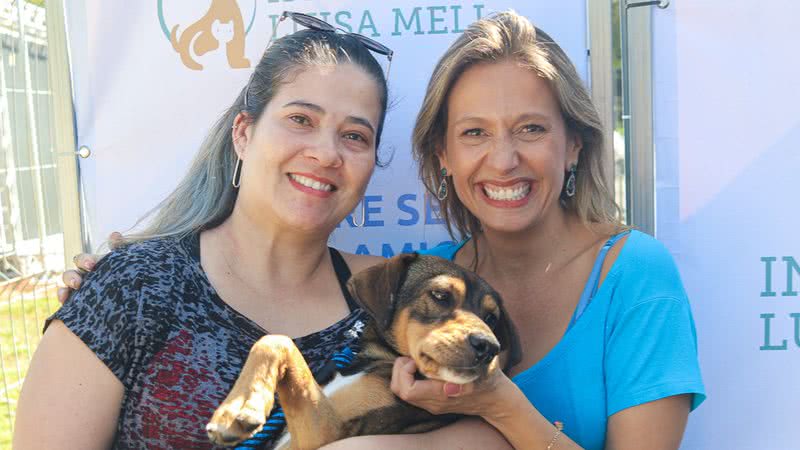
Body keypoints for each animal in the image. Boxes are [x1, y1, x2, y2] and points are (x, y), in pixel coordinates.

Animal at [206, 253, 520, 450]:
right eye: (441, 295)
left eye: (492, 318)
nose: (489, 347)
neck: (380, 358)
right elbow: (277, 344)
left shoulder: (326, 435)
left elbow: (277, 341)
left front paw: (239, 408)